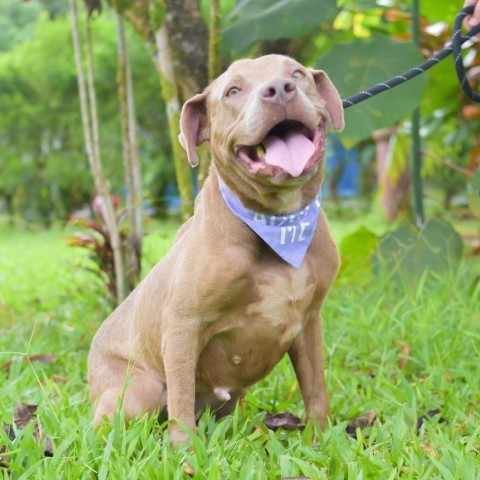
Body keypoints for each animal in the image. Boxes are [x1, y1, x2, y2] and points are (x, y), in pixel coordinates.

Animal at [88, 54, 344, 444]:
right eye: (233, 90)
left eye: (297, 73)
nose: (279, 89)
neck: (278, 225)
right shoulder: (182, 325)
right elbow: (180, 401)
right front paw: (184, 452)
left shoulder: (309, 323)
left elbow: (316, 391)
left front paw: (320, 443)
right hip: (139, 391)